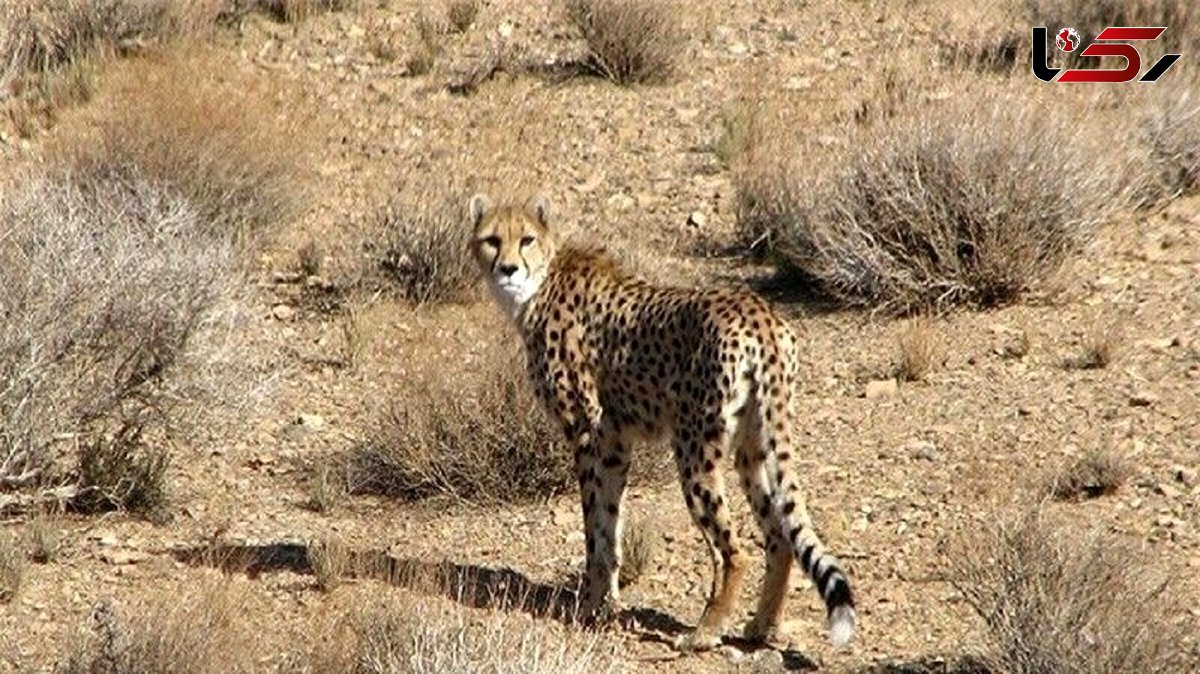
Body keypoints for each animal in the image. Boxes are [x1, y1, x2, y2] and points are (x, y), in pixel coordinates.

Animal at [465, 191, 854, 647]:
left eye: (526, 239)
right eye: (492, 239)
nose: (507, 268)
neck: (538, 285)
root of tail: (758, 312)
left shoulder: (586, 432)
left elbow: (594, 530)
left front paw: (591, 605)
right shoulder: (615, 443)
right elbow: (610, 525)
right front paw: (607, 604)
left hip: (693, 447)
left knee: (733, 549)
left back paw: (706, 630)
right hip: (753, 446)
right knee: (779, 535)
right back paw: (763, 625)